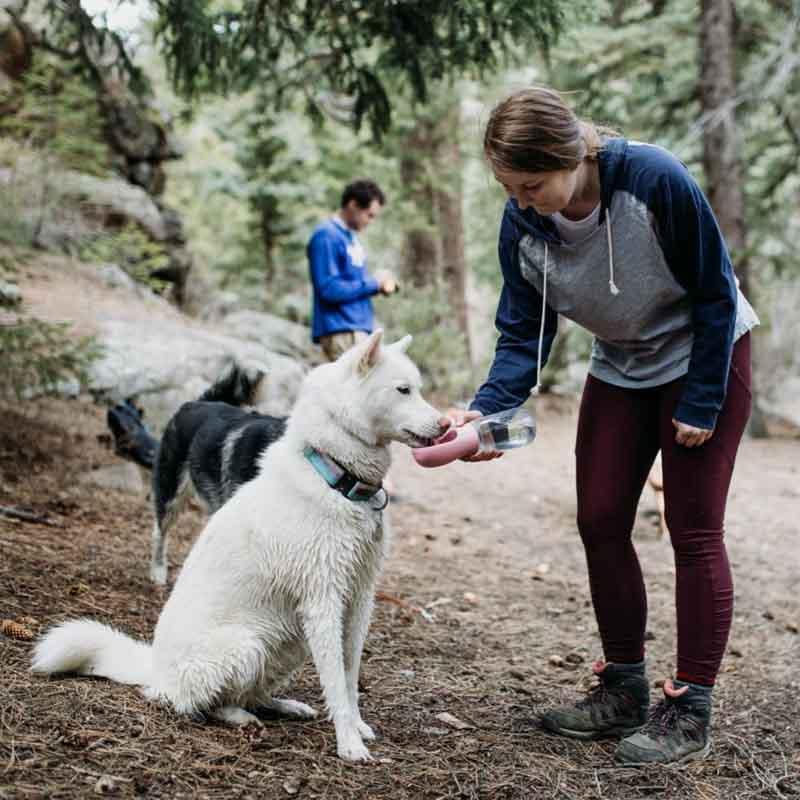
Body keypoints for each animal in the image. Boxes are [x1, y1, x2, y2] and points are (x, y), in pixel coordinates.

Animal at [32, 332, 450, 764]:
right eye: (403, 390)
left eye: (418, 388)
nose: (447, 424)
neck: (336, 477)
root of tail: (154, 668)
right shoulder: (323, 601)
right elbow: (335, 681)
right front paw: (349, 743)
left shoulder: (360, 599)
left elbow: (349, 677)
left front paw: (359, 727)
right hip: (247, 643)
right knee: (196, 702)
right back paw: (236, 716)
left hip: (290, 640)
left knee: (251, 692)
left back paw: (283, 705)